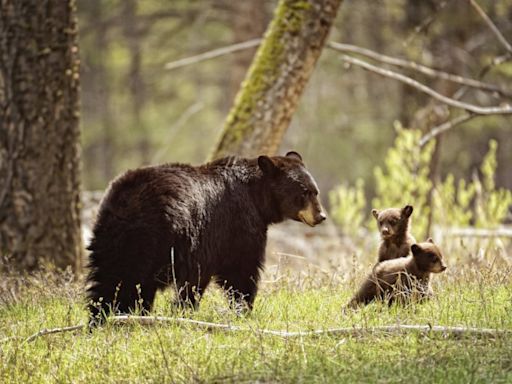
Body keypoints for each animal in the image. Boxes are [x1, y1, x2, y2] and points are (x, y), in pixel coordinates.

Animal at [87, 152, 324, 326]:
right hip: (160, 237)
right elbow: (239, 270)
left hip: (111, 237)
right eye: (304, 192)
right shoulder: (235, 227)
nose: (321, 216)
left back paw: (102, 320)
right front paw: (243, 310)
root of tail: (130, 199)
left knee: (108, 281)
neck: (257, 197)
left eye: (316, 191)